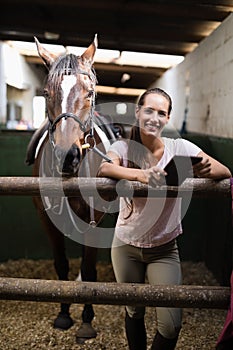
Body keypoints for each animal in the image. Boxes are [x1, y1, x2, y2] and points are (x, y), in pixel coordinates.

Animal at [26, 34, 119, 342]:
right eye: (45, 93)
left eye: (90, 93)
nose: (67, 155)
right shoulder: (46, 218)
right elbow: (62, 265)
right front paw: (64, 313)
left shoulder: (92, 219)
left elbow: (89, 269)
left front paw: (87, 321)